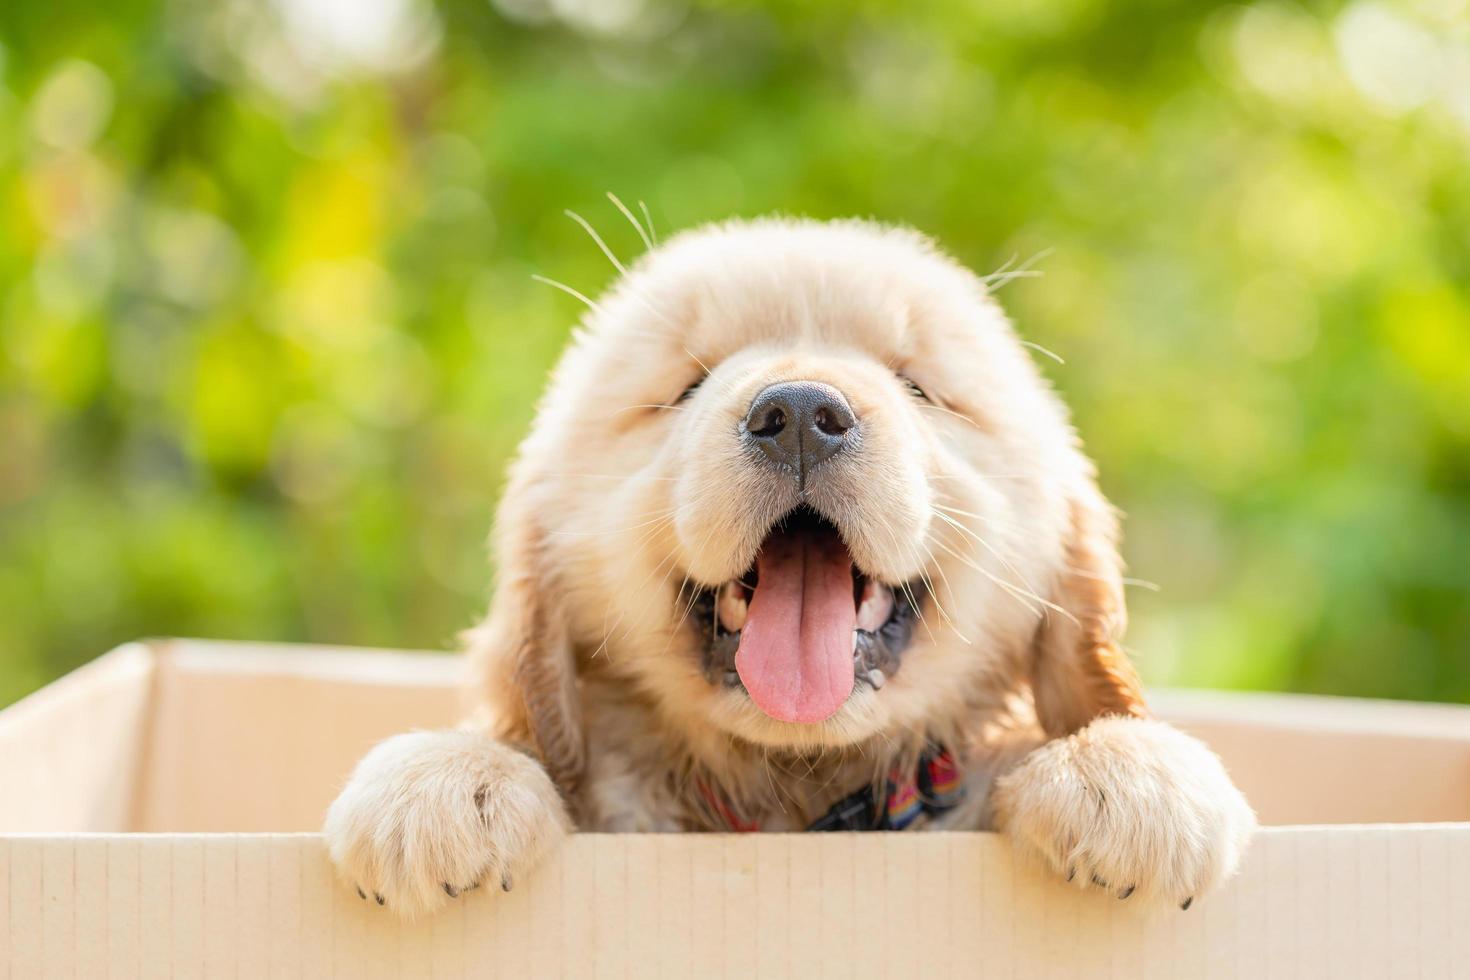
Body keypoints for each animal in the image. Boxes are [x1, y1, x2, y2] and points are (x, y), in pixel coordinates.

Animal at [327, 215, 1258, 922]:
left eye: (918, 386)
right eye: (685, 386)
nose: (803, 413)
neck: (796, 796)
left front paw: (1127, 773)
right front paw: (446, 781)